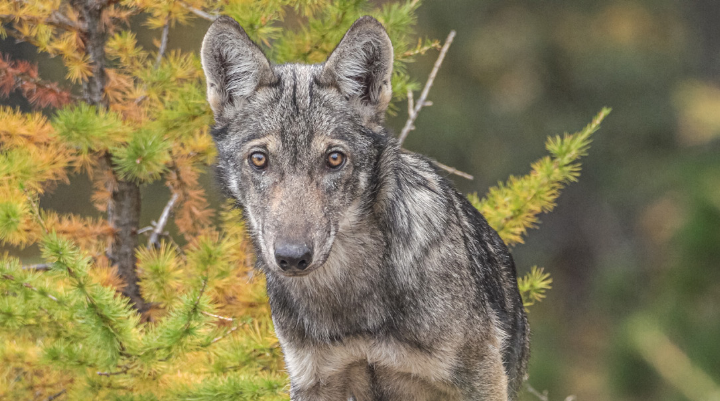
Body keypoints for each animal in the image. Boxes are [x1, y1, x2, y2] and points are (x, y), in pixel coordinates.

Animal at [201, 15, 529, 401]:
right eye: (259, 159)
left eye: (334, 159)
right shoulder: (314, 381)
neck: (349, 302)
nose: (293, 257)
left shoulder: (480, 378)